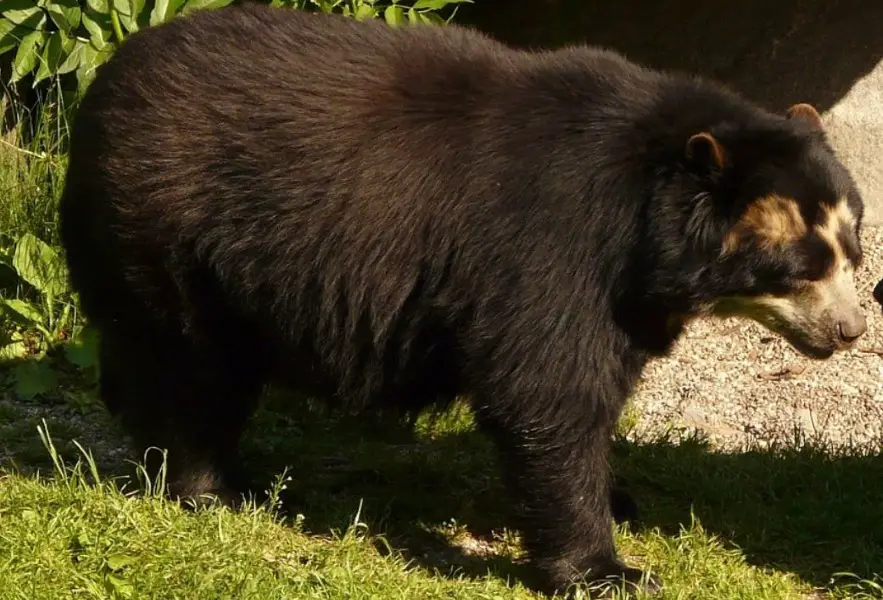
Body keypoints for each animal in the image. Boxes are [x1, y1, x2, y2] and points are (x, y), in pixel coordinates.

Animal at [60, 3, 872, 596]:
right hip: (169, 230)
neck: (648, 219)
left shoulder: (628, 292)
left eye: (852, 249)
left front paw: (621, 500)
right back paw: (209, 488)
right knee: (191, 367)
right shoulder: (553, 242)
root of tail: (107, 79)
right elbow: (548, 387)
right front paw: (607, 568)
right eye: (800, 266)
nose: (850, 331)